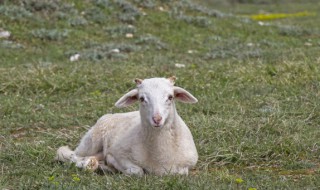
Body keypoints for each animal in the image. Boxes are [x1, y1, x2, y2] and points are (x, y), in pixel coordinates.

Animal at [56, 75, 199, 175]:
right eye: (141, 98)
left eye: (170, 97)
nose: (157, 119)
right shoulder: (119, 153)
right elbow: (137, 171)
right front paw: (115, 166)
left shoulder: (187, 164)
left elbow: (181, 172)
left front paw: (108, 166)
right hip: (91, 141)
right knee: (70, 155)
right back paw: (88, 164)